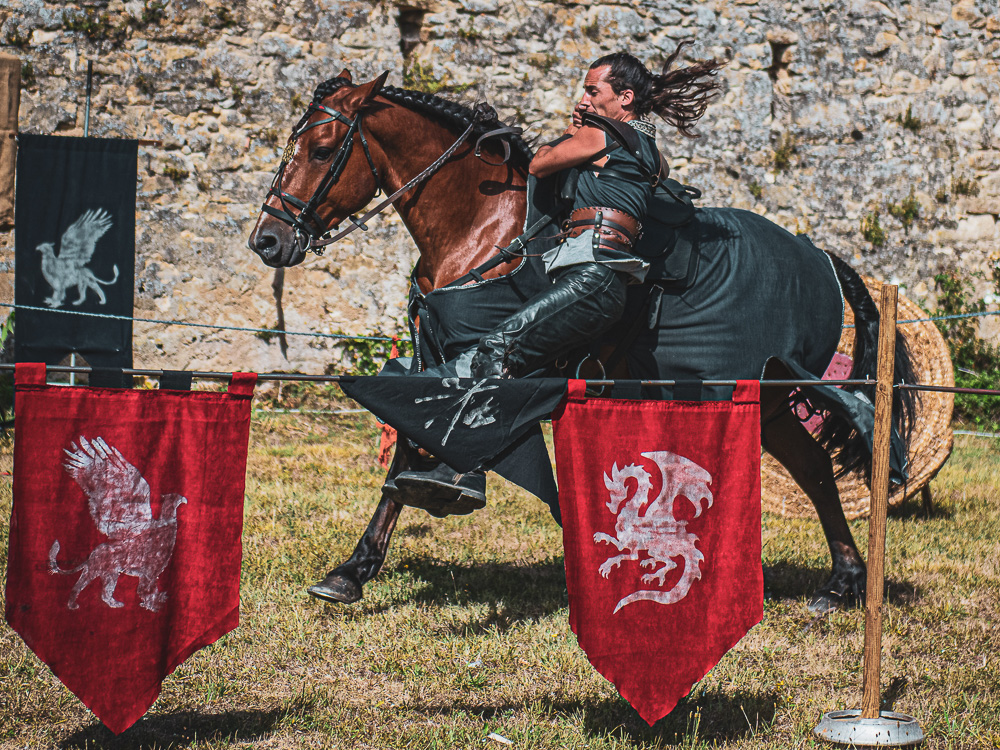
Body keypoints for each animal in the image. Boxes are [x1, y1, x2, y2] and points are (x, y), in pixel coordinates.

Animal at [248, 72, 916, 616]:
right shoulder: (438, 359)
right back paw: (841, 583)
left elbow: (451, 425)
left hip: (744, 395)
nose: (268, 241)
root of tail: (818, 255)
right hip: (769, 402)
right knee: (813, 469)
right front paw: (351, 571)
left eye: (323, 150)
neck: (484, 229)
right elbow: (412, 442)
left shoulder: (501, 361)